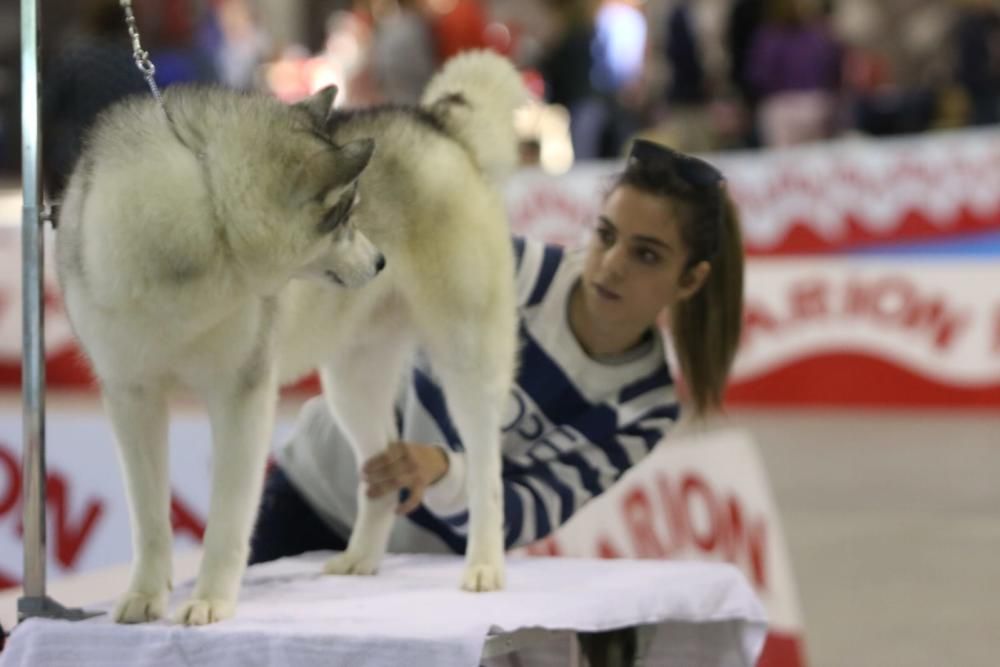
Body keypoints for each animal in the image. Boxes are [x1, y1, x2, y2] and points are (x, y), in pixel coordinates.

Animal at [56, 52, 524, 628]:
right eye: (343, 215)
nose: (380, 262)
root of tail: (436, 122)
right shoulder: (131, 395)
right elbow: (148, 517)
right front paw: (144, 595)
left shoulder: (241, 396)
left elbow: (227, 518)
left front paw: (211, 599)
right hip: (352, 382)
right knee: (382, 472)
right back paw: (360, 558)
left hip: (466, 358)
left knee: (485, 471)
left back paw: (484, 565)